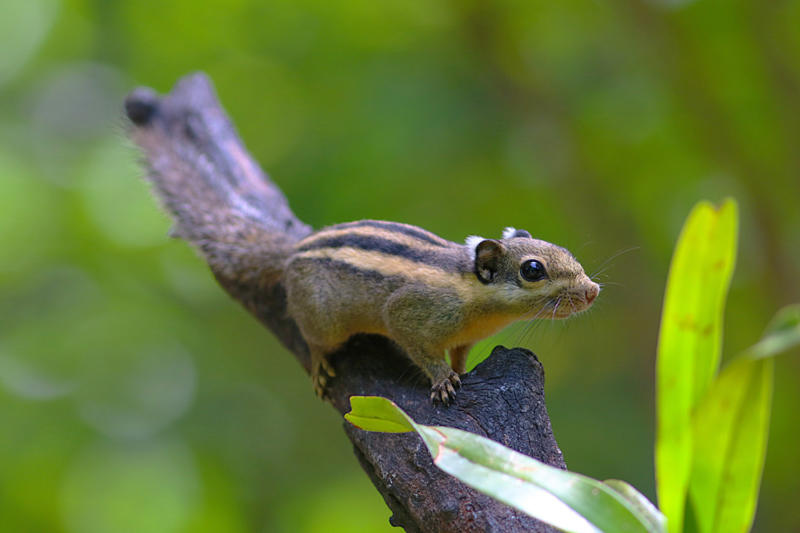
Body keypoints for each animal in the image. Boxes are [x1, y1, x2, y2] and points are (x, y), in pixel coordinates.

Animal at [283, 221, 599, 404]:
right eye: (532, 270)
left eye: (564, 250)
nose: (592, 290)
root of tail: (292, 253)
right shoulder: (406, 312)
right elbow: (421, 350)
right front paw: (443, 379)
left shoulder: (466, 339)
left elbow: (459, 354)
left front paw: (460, 370)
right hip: (324, 320)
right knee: (315, 341)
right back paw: (320, 363)